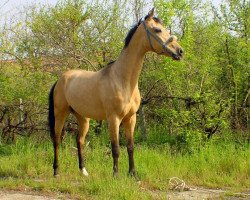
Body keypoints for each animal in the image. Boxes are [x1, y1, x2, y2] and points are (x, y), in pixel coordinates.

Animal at [47, 8, 183, 178]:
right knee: (57, 140)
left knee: (80, 141)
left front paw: (133, 174)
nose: (180, 51)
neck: (122, 79)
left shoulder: (131, 119)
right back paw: (56, 171)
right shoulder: (114, 119)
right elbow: (116, 149)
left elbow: (130, 147)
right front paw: (116, 175)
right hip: (60, 114)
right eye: (157, 30)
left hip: (83, 118)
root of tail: (60, 79)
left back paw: (84, 171)